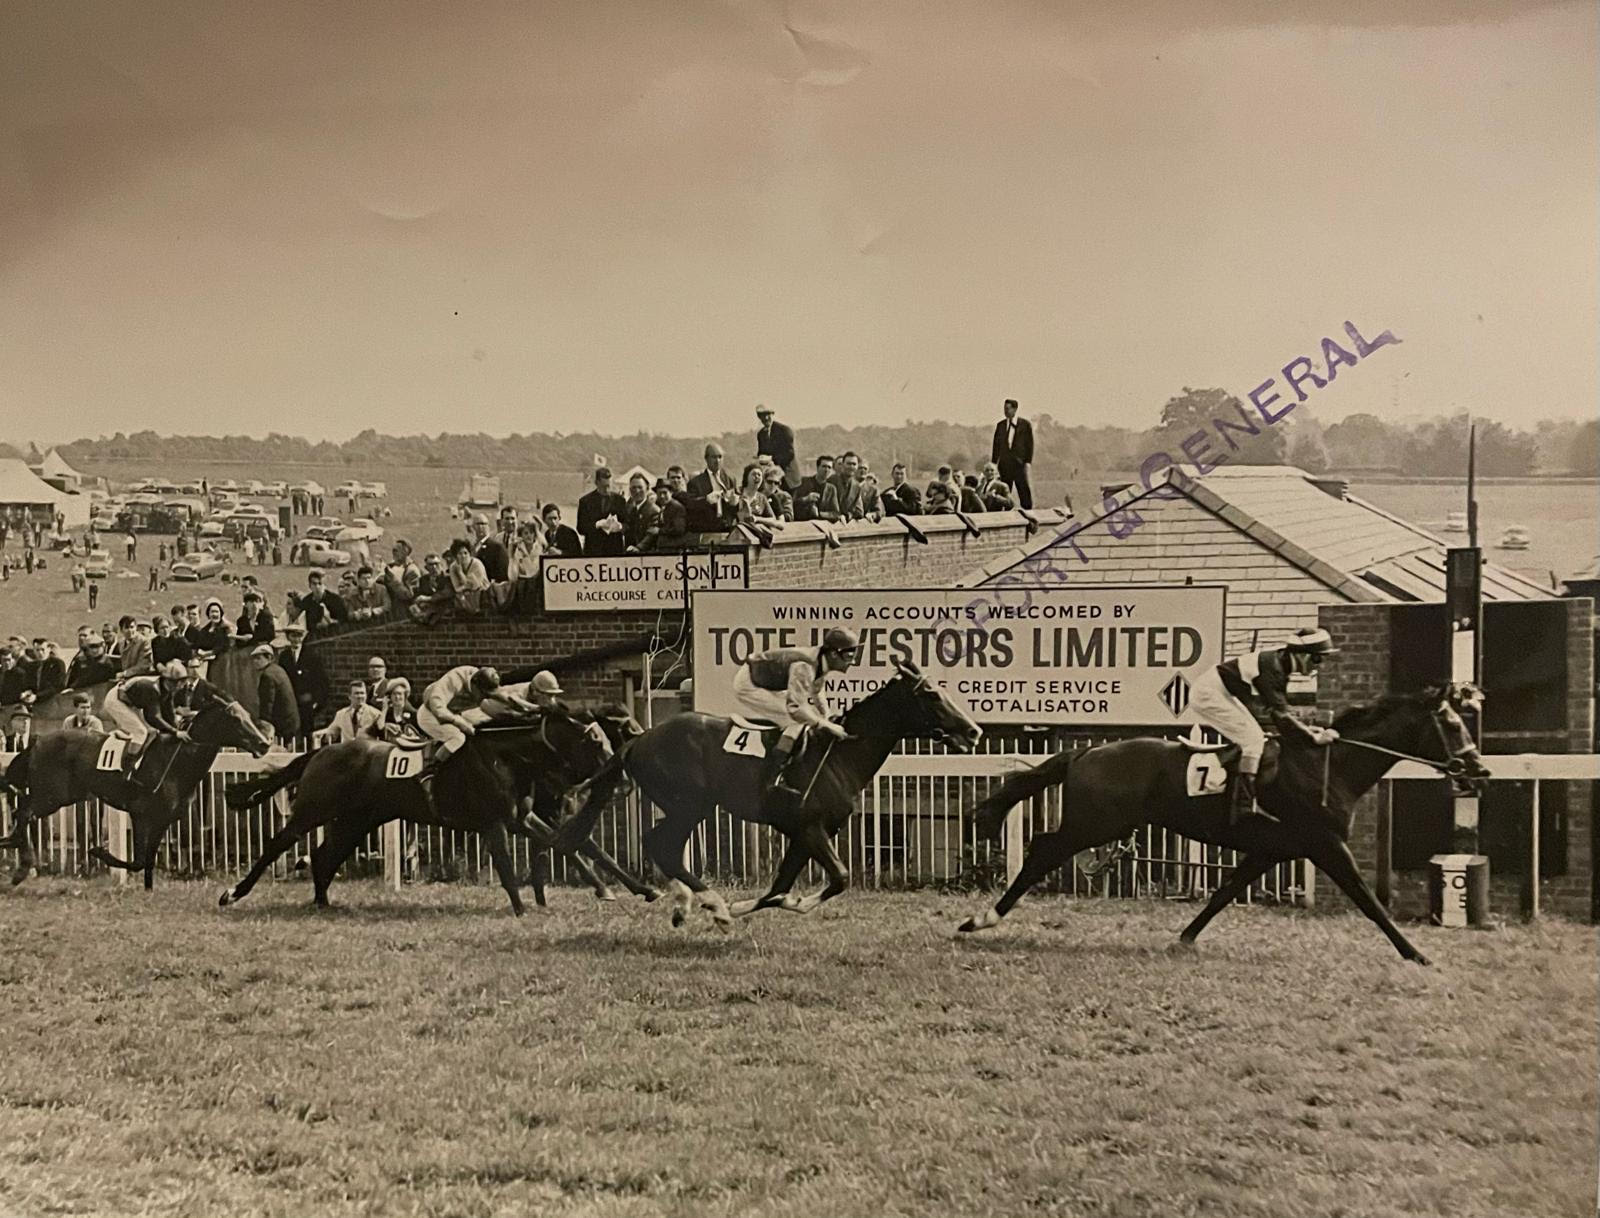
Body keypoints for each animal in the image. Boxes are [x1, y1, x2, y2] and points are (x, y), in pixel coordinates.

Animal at [0, 697, 272, 889]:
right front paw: (99, 851)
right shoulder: (140, 813)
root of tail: (37, 741)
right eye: (235, 719)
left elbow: (147, 860)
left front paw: (148, 889)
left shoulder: (164, 819)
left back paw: (12, 845)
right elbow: (139, 860)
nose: (264, 743)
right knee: (24, 812)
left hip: (65, 794)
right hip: (52, 795)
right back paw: (21, 866)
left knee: (21, 811)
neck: (175, 760)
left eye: (248, 716)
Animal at [217, 707, 624, 915]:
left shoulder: (521, 818)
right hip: (312, 812)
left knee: (323, 856)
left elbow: (564, 843)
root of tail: (321, 750)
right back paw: (234, 893)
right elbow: (509, 870)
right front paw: (522, 910)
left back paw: (322, 902)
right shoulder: (494, 822)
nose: (617, 777)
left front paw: (608, 888)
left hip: (355, 821)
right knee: (278, 845)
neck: (505, 756)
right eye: (593, 740)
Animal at [563, 659, 985, 928]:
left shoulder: (805, 834)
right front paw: (763, 905)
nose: (973, 730)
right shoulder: (812, 829)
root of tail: (640, 739)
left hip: (687, 806)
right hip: (691, 805)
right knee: (661, 842)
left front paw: (759, 903)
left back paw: (689, 904)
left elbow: (780, 886)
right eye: (931, 695)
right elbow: (840, 878)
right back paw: (711, 904)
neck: (839, 756)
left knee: (662, 844)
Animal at [953, 685, 1491, 960]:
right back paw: (982, 919)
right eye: (1451, 724)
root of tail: (1085, 752)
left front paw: (1185, 938)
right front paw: (1415, 953)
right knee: (1042, 850)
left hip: (1098, 825)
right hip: (1093, 825)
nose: (1479, 769)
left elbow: (1223, 892)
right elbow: (1370, 903)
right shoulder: (1326, 845)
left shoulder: (1271, 850)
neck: (1326, 765)